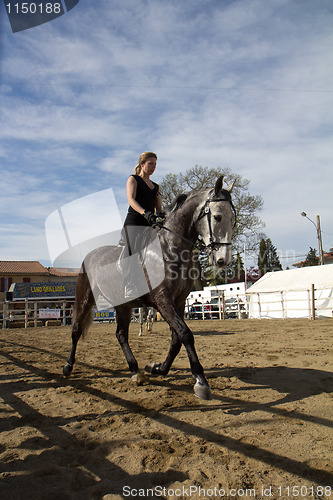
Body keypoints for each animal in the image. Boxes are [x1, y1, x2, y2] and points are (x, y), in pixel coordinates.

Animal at [62, 176, 233, 398]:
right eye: (218, 217)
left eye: (233, 218)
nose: (223, 260)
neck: (170, 247)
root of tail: (90, 255)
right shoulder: (162, 300)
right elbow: (185, 334)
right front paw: (201, 381)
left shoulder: (178, 302)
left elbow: (176, 339)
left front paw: (158, 368)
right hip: (84, 299)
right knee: (76, 330)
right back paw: (68, 366)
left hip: (123, 306)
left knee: (121, 335)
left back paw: (135, 370)